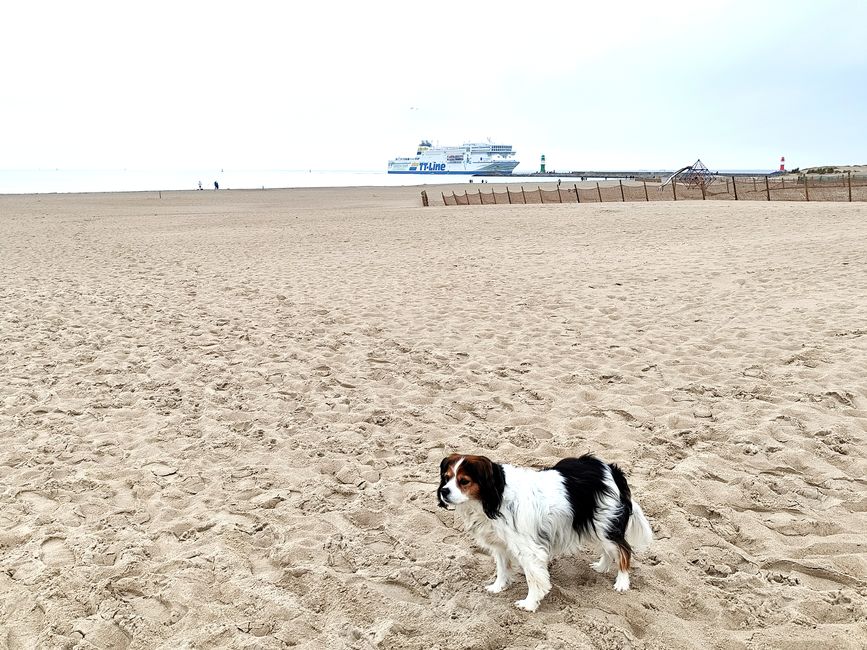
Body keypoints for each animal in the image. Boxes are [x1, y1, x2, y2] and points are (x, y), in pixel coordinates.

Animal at [438, 454, 656, 612]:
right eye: (446, 479)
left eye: (464, 481)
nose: (444, 491)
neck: (495, 496)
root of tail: (611, 470)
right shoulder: (501, 545)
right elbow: (502, 567)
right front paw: (498, 587)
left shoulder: (529, 550)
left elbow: (534, 578)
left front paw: (529, 603)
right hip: (593, 525)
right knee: (610, 550)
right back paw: (602, 567)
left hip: (604, 525)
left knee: (623, 550)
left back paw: (622, 582)